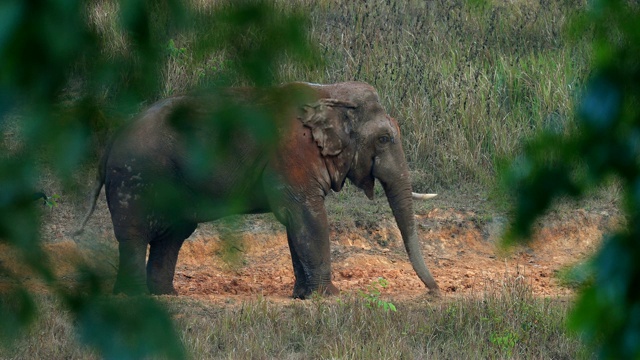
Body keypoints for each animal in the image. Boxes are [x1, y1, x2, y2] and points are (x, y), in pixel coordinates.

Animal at [75, 81, 440, 298]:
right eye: (384, 138)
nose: (435, 293)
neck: (329, 93)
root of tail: (113, 138)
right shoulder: (292, 154)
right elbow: (307, 215)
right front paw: (327, 297)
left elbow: (297, 223)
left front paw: (302, 297)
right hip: (134, 176)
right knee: (135, 235)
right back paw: (133, 297)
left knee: (172, 236)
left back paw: (165, 296)